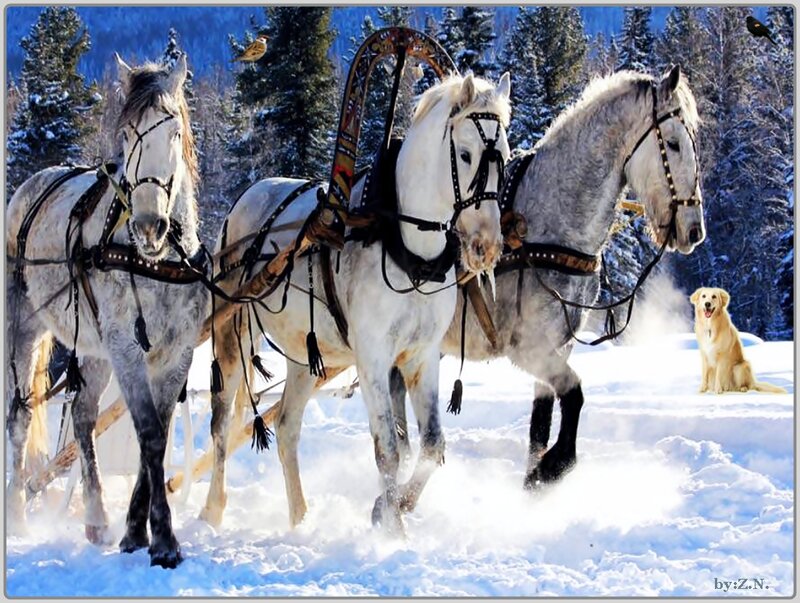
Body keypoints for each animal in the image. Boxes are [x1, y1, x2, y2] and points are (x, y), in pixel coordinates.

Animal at [6, 54, 206, 568]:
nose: (150, 224)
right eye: (129, 133)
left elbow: (157, 433)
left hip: (93, 348)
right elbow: (149, 433)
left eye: (173, 130)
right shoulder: (126, 348)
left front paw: (134, 531)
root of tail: (31, 185)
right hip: (24, 328)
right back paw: (18, 516)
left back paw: (96, 518)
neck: (155, 261)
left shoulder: (175, 352)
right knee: (19, 418)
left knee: (81, 415)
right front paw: (163, 540)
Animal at [201, 72, 512, 535]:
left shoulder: (421, 356)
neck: (407, 249)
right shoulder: (373, 357)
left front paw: (395, 506)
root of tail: (246, 196)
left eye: (505, 156)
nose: (486, 246)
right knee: (221, 424)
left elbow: (432, 445)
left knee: (287, 427)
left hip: (306, 355)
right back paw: (212, 511)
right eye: (466, 154)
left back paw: (300, 517)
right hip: (233, 332)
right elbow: (389, 450)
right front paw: (393, 530)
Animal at [391, 65, 706, 488]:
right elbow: (574, 395)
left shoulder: (559, 346)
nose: (693, 230)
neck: (550, 226)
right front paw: (554, 466)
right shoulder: (529, 348)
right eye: (672, 143)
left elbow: (540, 424)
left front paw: (533, 479)